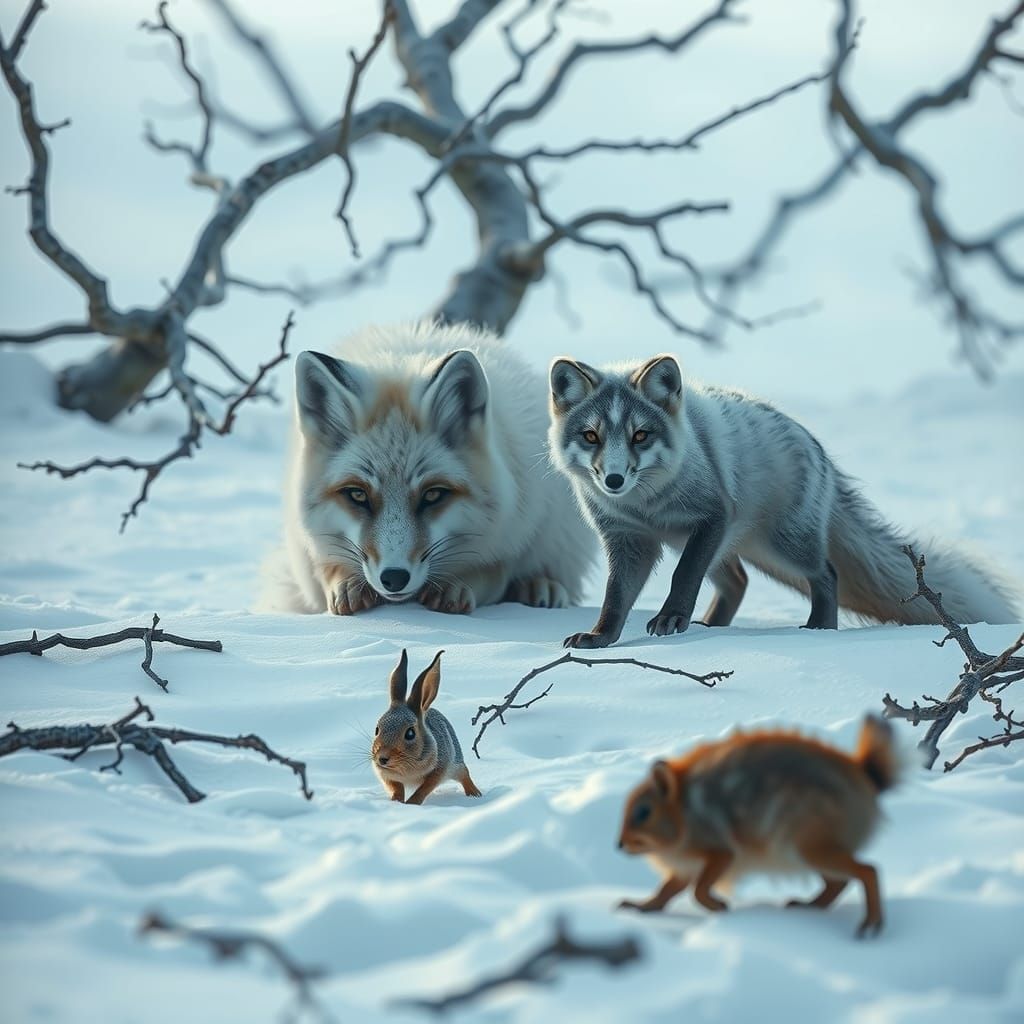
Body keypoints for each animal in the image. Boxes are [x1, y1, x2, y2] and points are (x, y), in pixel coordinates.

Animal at [263, 321, 595, 615]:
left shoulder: (507, 534)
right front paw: (346, 584)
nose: (394, 578)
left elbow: (490, 573)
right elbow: (326, 572)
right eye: (357, 495)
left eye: (433, 495)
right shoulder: (308, 544)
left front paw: (456, 586)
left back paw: (539, 586)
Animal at [548, 354, 1017, 648]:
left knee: (826, 574)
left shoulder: (710, 516)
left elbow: (682, 579)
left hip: (780, 548)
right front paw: (601, 638)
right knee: (738, 581)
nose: (613, 479)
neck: (645, 506)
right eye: (591, 436)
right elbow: (615, 596)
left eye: (640, 435)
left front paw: (669, 620)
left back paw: (818, 628)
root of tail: (818, 448)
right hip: (735, 547)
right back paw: (712, 625)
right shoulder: (627, 539)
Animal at [617, 716, 900, 937]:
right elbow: (666, 892)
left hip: (811, 847)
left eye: (643, 812)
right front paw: (638, 907)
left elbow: (698, 890)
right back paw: (807, 906)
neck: (685, 816)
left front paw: (720, 907)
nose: (619, 844)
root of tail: (865, 778)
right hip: (810, 852)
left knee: (867, 871)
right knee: (837, 883)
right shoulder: (685, 867)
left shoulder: (721, 852)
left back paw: (870, 924)